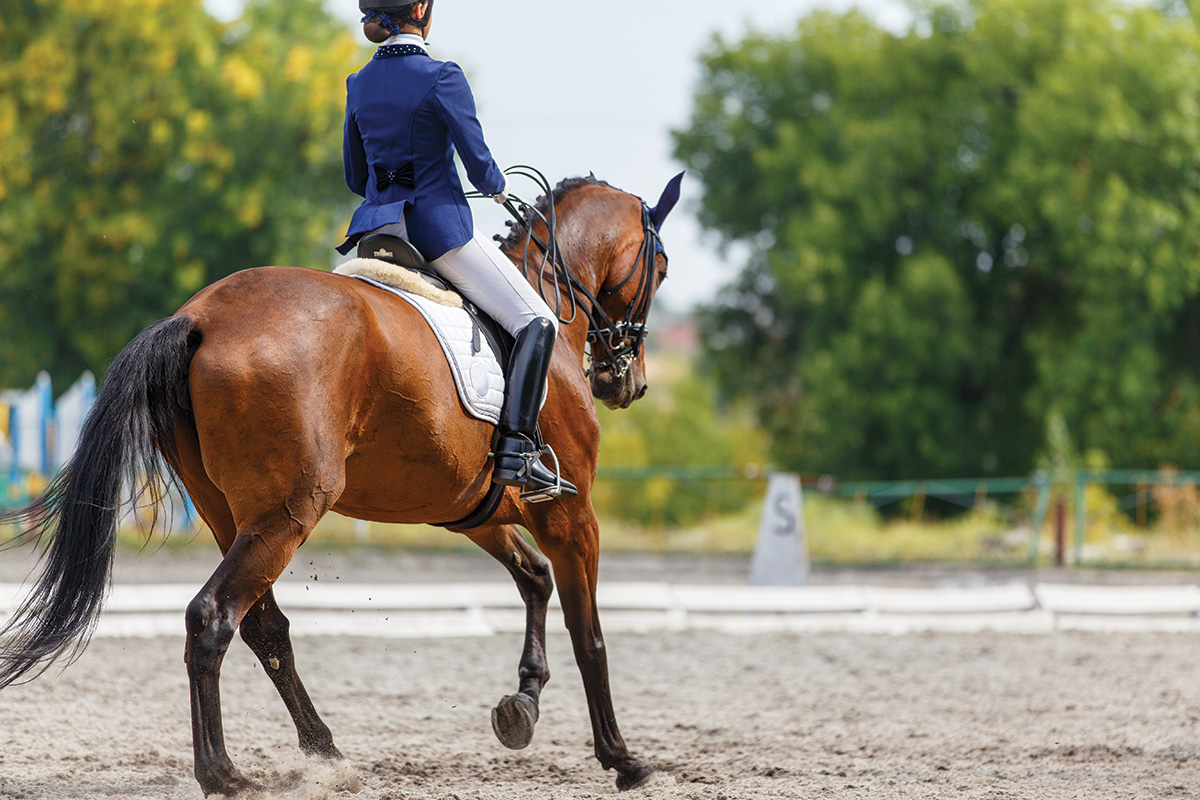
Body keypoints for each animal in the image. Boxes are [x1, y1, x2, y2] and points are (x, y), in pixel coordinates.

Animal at [0, 173, 681, 796]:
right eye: (662, 267)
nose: (629, 382)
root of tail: (199, 318)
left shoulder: (477, 511)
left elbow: (535, 579)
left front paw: (523, 706)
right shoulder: (572, 514)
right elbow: (589, 634)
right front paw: (623, 759)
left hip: (232, 516)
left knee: (262, 627)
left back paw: (324, 752)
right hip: (290, 512)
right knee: (213, 617)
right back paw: (224, 773)